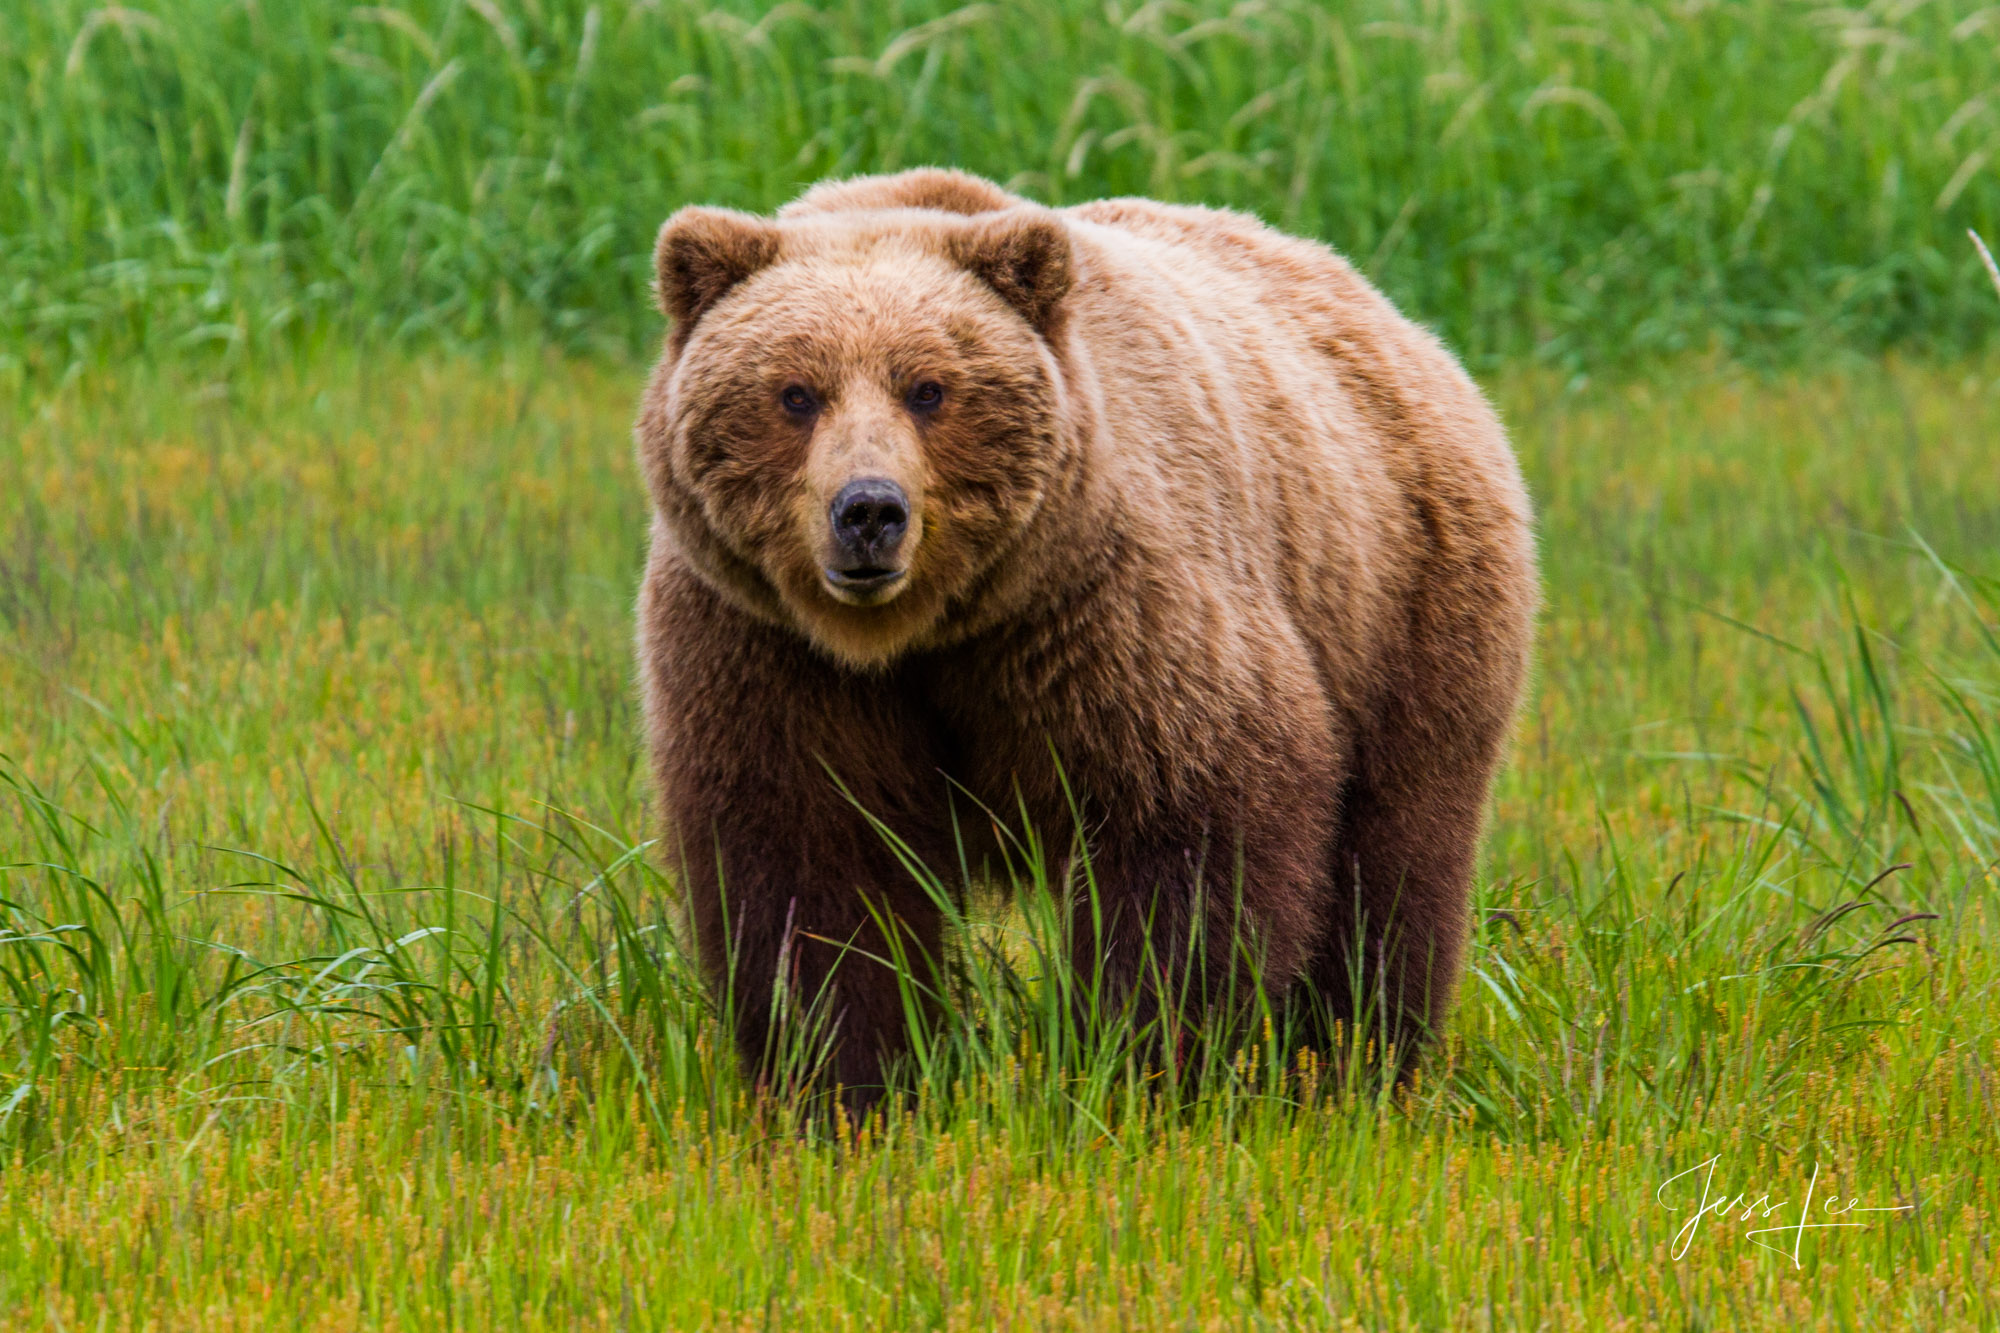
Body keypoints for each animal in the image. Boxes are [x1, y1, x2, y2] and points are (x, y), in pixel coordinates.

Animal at [632, 169, 1536, 1096]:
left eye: (929, 388)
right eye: (795, 393)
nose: (870, 510)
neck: (921, 632)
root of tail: (1394, 316)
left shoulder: (1101, 613)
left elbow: (1190, 828)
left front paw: (1139, 1063)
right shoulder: (767, 646)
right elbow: (813, 864)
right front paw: (846, 1079)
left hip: (1401, 604)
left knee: (1392, 864)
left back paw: (1352, 1059)